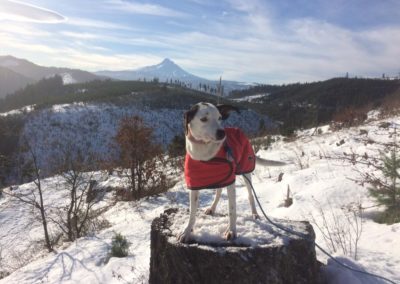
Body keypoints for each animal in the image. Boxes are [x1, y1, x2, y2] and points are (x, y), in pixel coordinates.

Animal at [177, 102, 284, 242]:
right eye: (203, 119)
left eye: (219, 118)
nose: (222, 133)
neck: (205, 154)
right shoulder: (194, 185)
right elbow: (192, 212)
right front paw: (187, 231)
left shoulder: (230, 182)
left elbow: (232, 209)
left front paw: (232, 231)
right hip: (221, 177)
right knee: (218, 192)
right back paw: (212, 208)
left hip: (246, 171)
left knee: (250, 195)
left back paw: (255, 213)